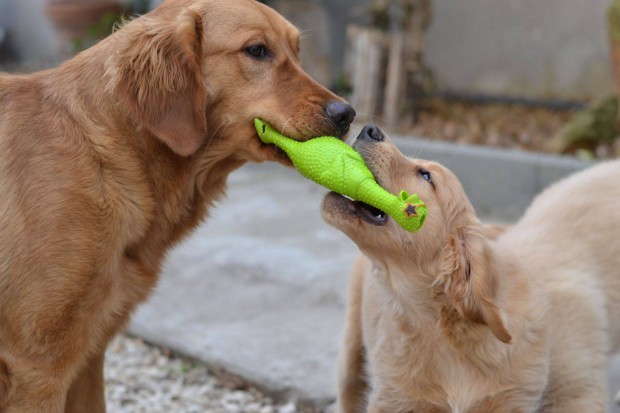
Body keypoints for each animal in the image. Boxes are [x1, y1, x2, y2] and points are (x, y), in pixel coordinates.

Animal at [0, 1, 354, 410]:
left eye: (298, 51)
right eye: (256, 50)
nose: (347, 114)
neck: (109, 153)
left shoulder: (88, 355)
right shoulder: (39, 368)